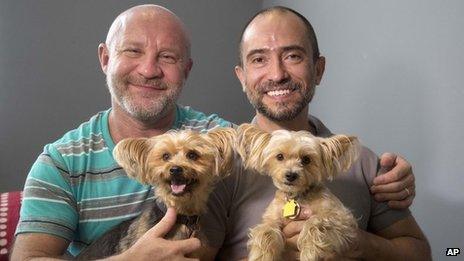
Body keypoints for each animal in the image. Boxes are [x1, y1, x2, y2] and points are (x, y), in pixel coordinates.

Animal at [237, 124, 360, 260]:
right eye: (280, 156)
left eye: (306, 159)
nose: (291, 175)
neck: (296, 196)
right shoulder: (272, 219)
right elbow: (265, 231)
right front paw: (262, 256)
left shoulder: (342, 217)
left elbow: (315, 221)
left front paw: (310, 252)